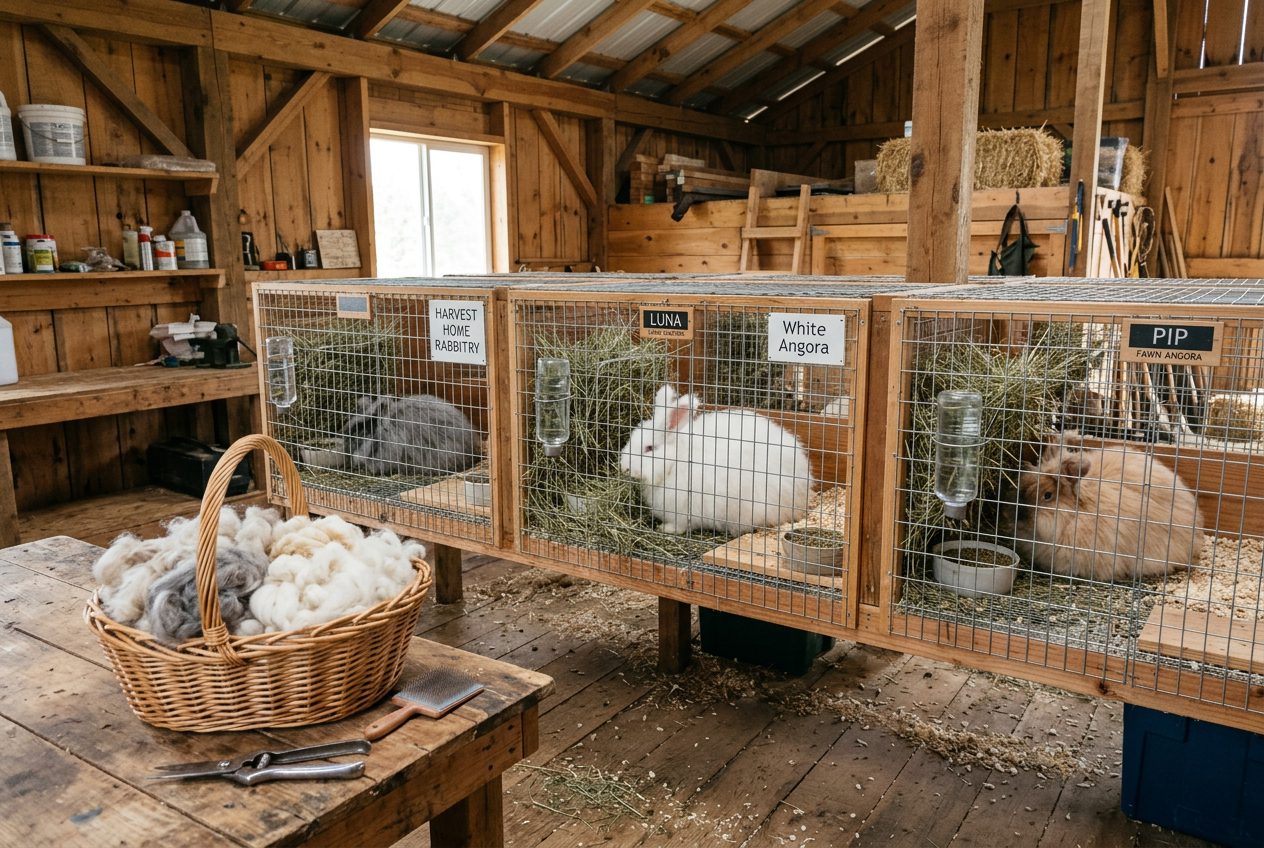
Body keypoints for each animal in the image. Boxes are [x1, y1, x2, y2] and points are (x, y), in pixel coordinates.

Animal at [619, 384, 813, 536]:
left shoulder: (684, 508)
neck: (675, 461)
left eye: (649, 448)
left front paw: (665, 529)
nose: (625, 468)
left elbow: (681, 525)